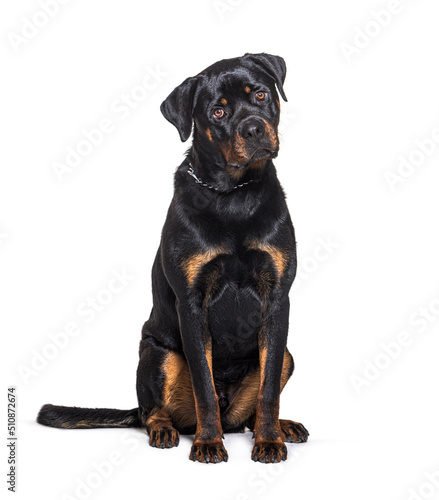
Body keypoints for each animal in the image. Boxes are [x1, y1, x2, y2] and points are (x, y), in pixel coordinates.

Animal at [37, 53, 310, 464]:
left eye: (261, 94)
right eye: (218, 111)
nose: (253, 129)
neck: (234, 196)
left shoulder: (277, 299)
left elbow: (267, 391)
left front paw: (269, 441)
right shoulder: (191, 304)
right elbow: (203, 387)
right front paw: (208, 443)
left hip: (288, 357)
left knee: (255, 405)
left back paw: (282, 427)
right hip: (157, 353)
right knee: (152, 410)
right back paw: (165, 430)